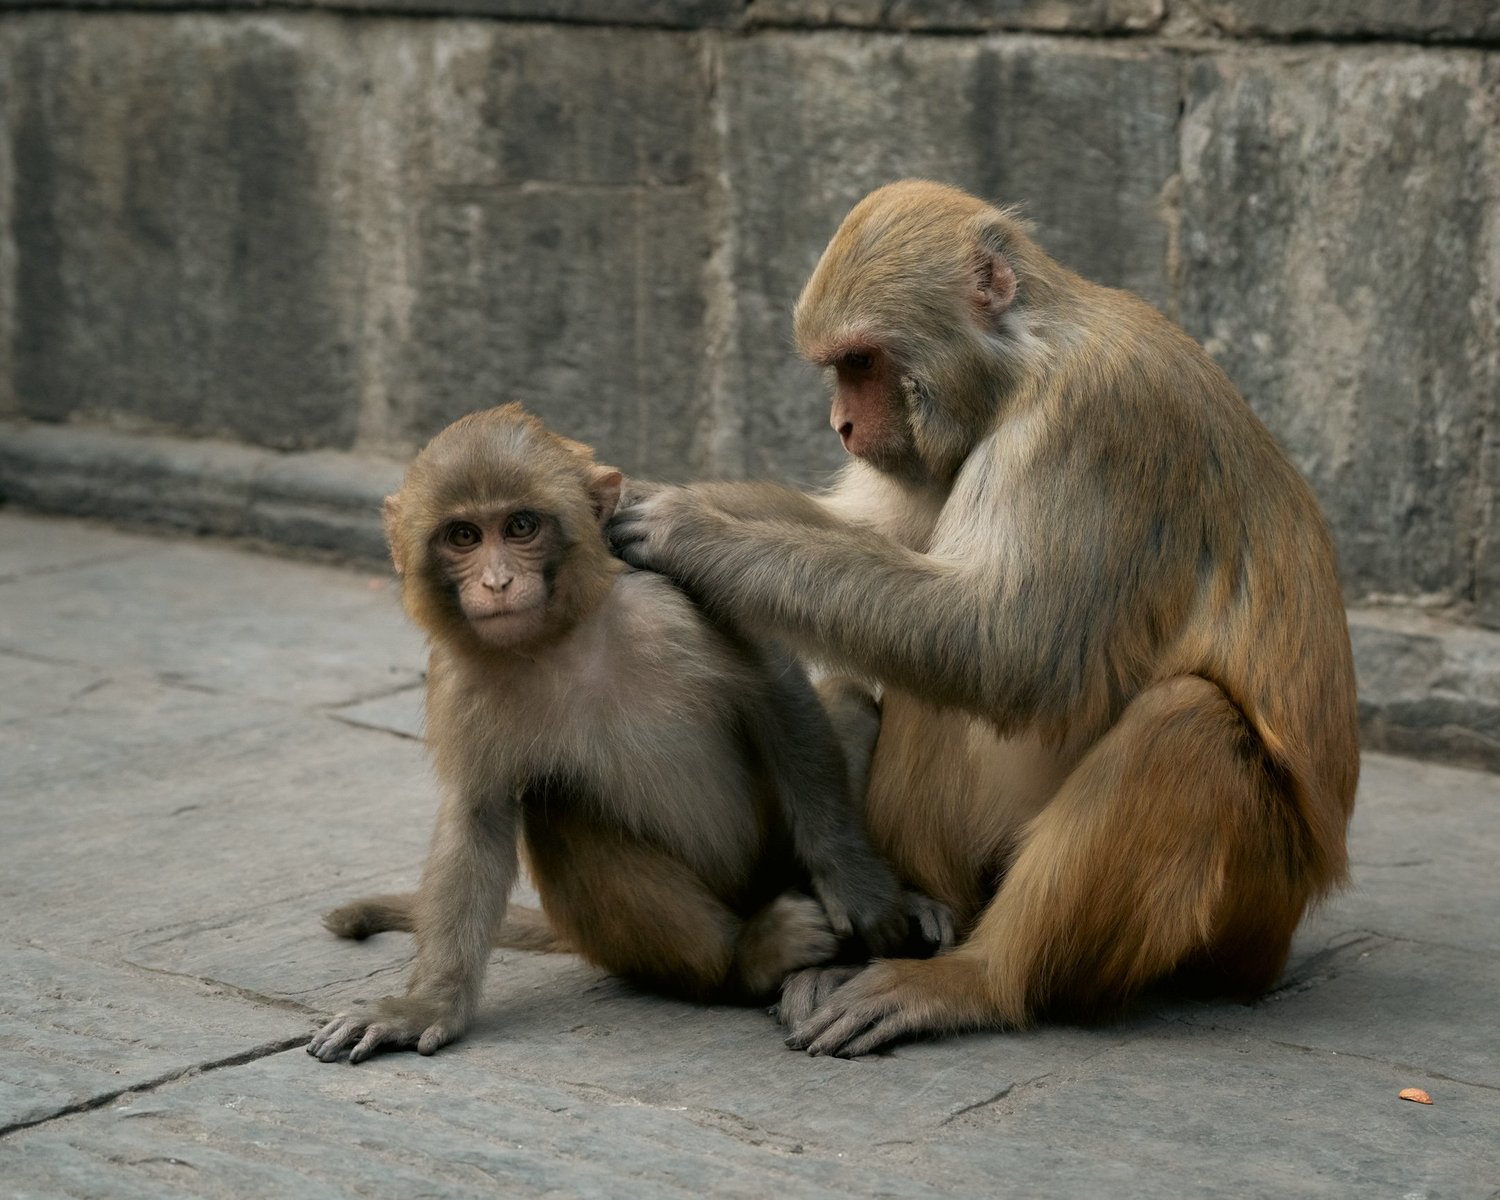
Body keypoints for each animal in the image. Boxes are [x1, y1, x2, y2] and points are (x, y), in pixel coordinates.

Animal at [308, 404, 949, 1064]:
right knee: (556, 804)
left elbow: (773, 688)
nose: (496, 583)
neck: (560, 639)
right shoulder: (459, 683)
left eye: (520, 526)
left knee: (842, 697)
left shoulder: (669, 598)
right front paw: (426, 1005)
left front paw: (858, 887)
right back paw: (749, 960)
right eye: (463, 536)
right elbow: (476, 819)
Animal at [608, 180, 1361, 1057]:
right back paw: (909, 919)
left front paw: (692, 533)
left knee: (1183, 724)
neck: (1024, 362)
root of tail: (1281, 937)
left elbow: (1007, 646)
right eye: (839, 368)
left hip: (1248, 904)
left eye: (861, 362)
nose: (843, 427)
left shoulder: (1090, 421)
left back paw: (976, 978)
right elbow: (871, 538)